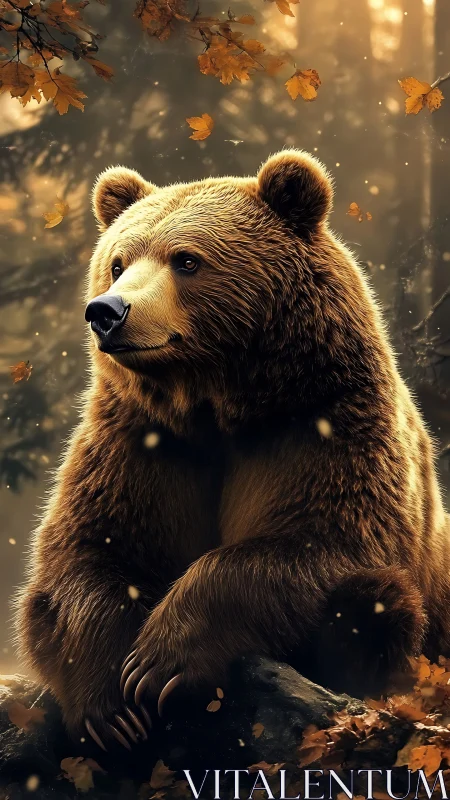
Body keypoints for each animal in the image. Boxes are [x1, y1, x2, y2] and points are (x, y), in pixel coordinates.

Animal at [15, 150, 450, 751]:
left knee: (377, 598)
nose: (107, 311)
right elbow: (87, 551)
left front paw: (160, 661)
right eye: (118, 262)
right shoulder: (138, 439)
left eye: (186, 260)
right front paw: (113, 708)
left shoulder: (324, 423)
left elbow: (327, 540)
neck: (217, 402)